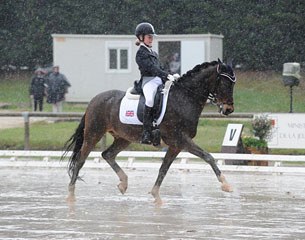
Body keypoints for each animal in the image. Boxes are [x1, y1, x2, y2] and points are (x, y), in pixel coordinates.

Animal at [63, 59, 236, 203]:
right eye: (225, 84)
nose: (229, 110)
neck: (184, 98)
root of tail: (94, 100)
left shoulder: (176, 145)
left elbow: (163, 169)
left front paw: (156, 196)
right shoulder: (181, 139)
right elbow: (208, 157)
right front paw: (226, 185)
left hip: (124, 138)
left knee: (107, 154)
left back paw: (123, 183)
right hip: (93, 134)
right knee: (80, 160)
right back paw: (70, 195)